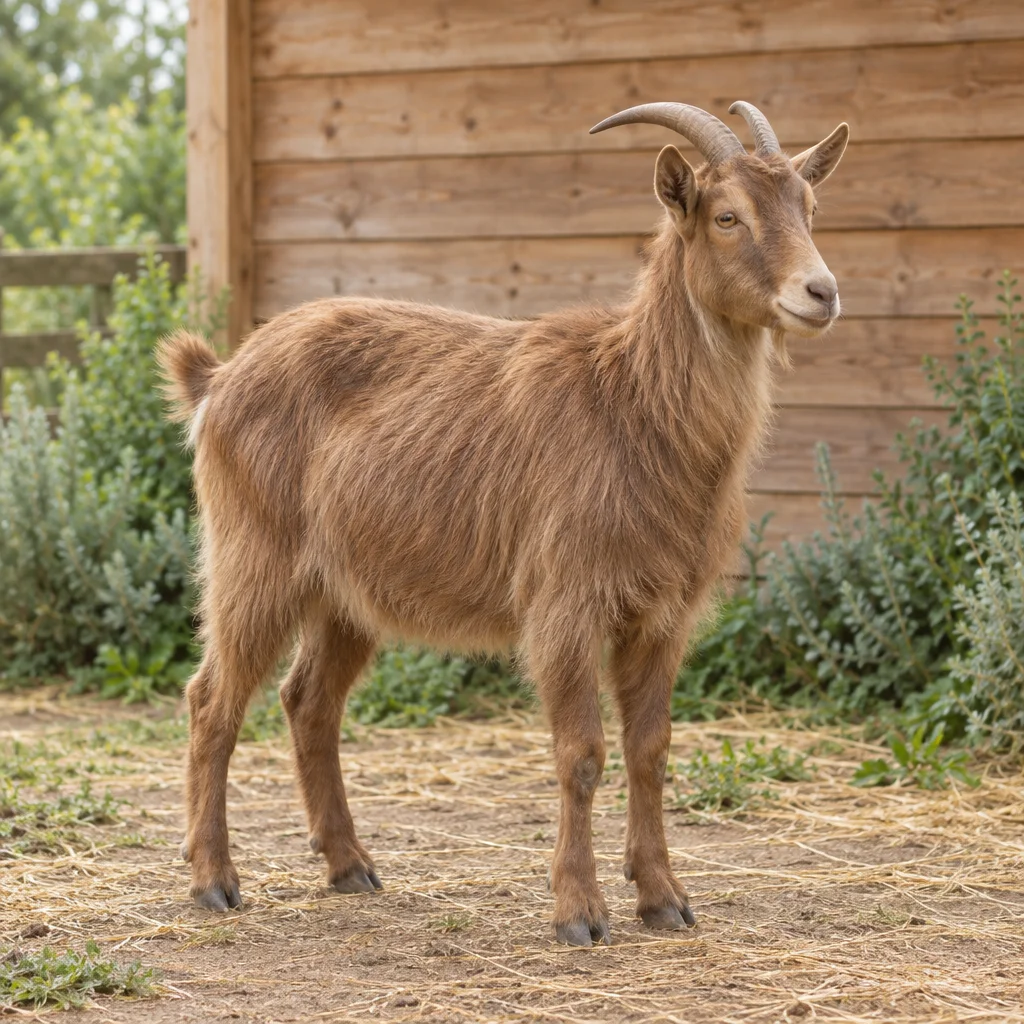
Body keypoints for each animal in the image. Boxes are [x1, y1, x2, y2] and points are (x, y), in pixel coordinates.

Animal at [159, 101, 848, 946]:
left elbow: (650, 750)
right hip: (253, 557)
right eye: (727, 216)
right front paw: (579, 913)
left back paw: (350, 866)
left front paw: (664, 899)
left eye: (809, 208)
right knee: (211, 700)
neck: (631, 404)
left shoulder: (663, 615)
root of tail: (218, 378)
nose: (820, 292)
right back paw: (214, 881)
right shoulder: (565, 602)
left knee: (308, 701)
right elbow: (581, 753)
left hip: (345, 590)